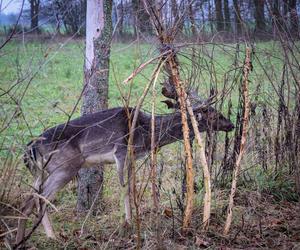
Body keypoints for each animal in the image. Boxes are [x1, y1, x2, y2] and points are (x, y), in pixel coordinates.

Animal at [14, 85, 234, 247]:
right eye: (215, 114)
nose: (231, 125)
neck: (146, 134)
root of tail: (30, 148)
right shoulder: (120, 151)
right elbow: (125, 189)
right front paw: (126, 225)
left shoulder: (131, 158)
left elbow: (131, 188)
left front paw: (131, 222)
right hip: (65, 166)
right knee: (41, 199)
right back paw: (51, 237)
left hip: (41, 172)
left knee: (28, 201)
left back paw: (20, 240)